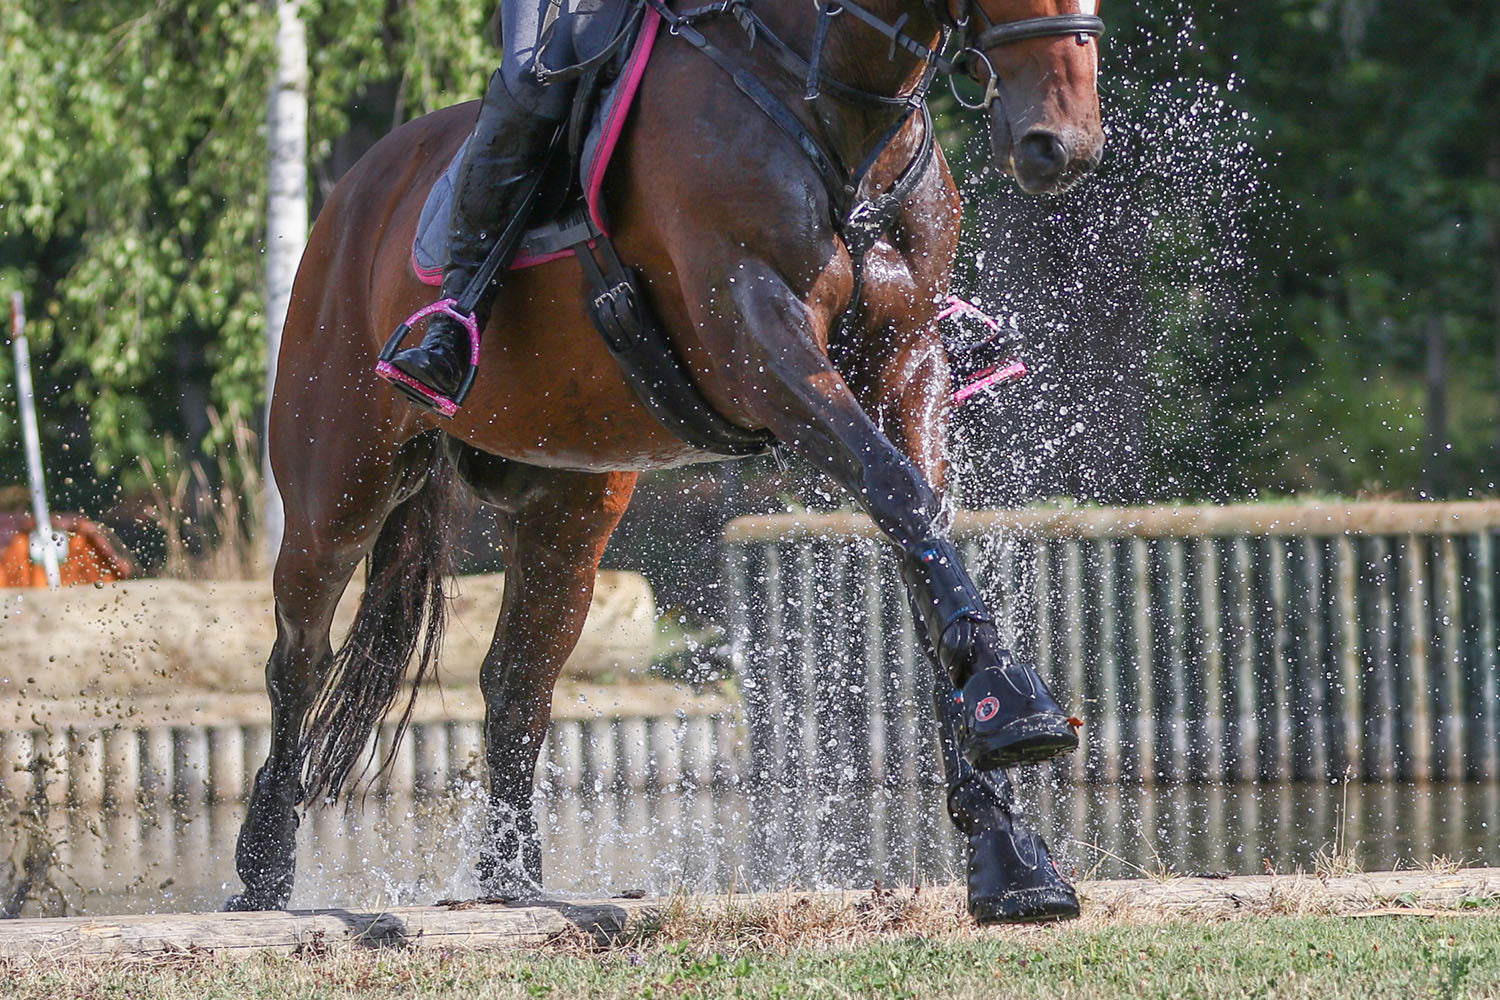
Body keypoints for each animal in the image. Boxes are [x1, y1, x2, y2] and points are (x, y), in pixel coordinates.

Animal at [228, 0, 1110, 923]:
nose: (1063, 142)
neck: (836, 109)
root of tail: (353, 195)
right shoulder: (760, 348)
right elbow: (897, 496)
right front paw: (1013, 701)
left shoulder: (907, 365)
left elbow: (919, 530)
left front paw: (1007, 842)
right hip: (341, 484)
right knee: (298, 658)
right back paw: (263, 872)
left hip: (571, 507)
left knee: (516, 680)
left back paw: (513, 879)